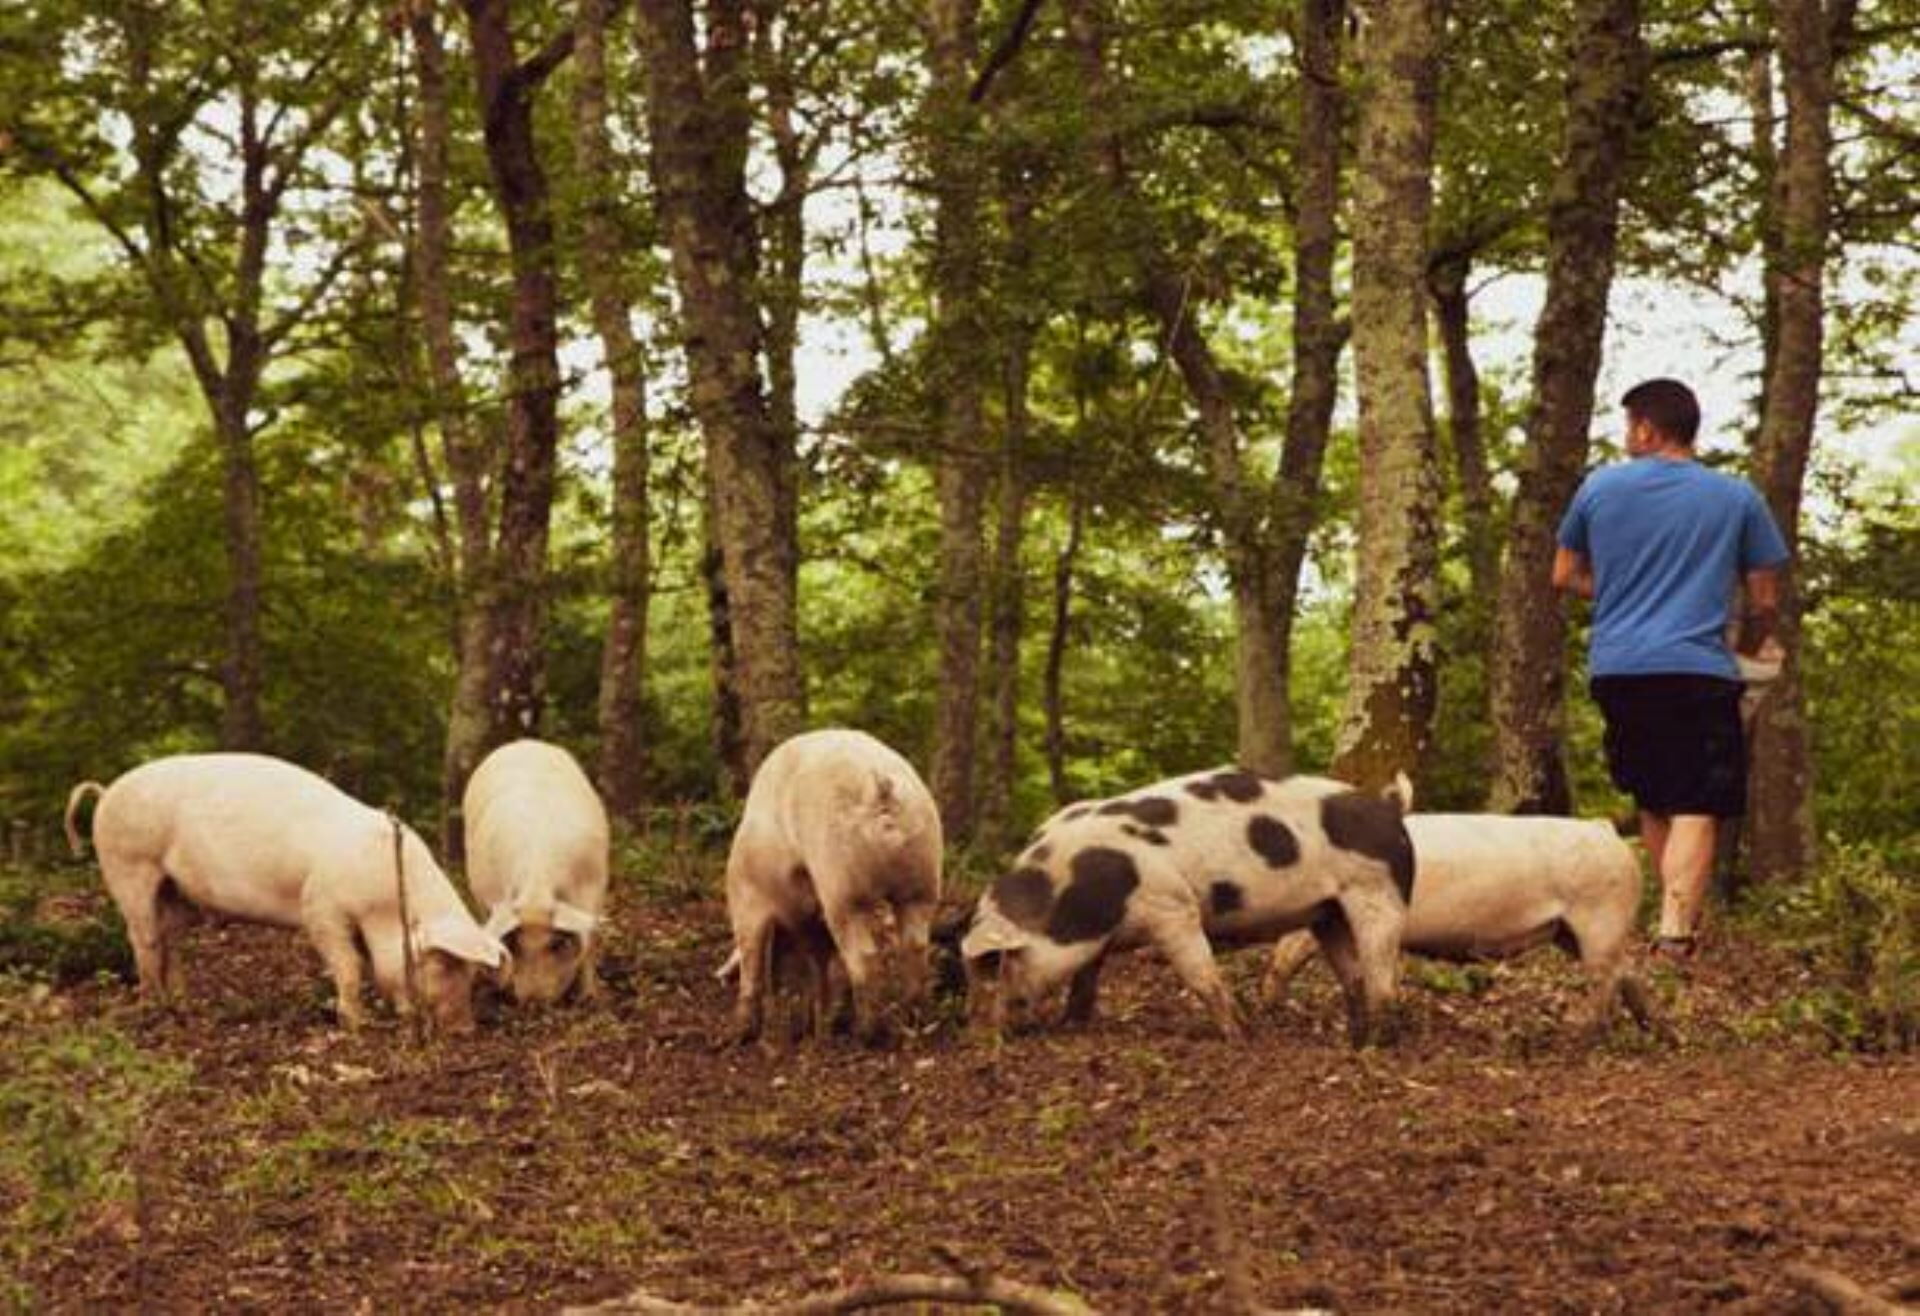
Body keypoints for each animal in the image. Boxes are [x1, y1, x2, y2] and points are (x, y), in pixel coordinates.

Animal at [64, 753, 509, 1032]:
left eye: (472, 973)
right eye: (443, 964)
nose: (465, 1030)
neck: (387, 898)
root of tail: (106, 792)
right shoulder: (321, 908)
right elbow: (349, 966)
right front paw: (355, 1024)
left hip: (177, 891)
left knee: (169, 938)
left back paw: (184, 1003)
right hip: (128, 865)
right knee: (143, 937)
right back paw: (151, 1005)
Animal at [463, 739, 610, 1005]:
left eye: (556, 943)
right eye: (516, 943)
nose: (533, 1002)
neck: (537, 893)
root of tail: (524, 742)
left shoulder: (595, 888)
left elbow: (589, 943)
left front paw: (589, 998)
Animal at [724, 729, 943, 1044]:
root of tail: (880, 787)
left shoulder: (748, 896)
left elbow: (751, 959)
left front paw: (738, 1035)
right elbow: (821, 965)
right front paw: (821, 1026)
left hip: (844, 884)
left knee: (865, 955)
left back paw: (867, 1034)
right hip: (923, 876)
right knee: (913, 947)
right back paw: (913, 1022)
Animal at [962, 768, 1414, 1045]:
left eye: (998, 961)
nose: (982, 1031)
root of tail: (1390, 807)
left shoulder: (1172, 907)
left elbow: (1201, 975)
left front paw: (1241, 1036)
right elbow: (1086, 979)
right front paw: (1071, 1023)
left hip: (1379, 893)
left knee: (1382, 971)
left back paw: (1378, 1042)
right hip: (1328, 912)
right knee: (1353, 974)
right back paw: (1354, 1038)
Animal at [1261, 813, 1656, 1037]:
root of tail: (1606, 831)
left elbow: (1290, 951)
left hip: (1600, 915)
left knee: (1606, 976)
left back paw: (1580, 1033)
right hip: (1571, 931)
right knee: (1627, 969)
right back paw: (1654, 1030)